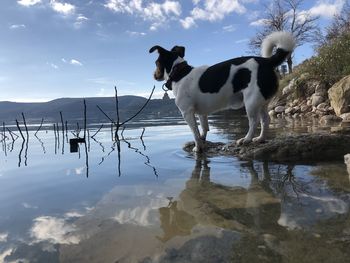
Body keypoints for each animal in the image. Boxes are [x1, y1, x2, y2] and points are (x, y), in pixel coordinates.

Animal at [149, 31, 294, 153]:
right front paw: (203, 140)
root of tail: (267, 61)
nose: (154, 75)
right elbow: (204, 128)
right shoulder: (201, 113)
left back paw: (246, 139)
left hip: (251, 101)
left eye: (156, 63)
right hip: (261, 101)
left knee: (254, 122)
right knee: (265, 120)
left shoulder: (187, 113)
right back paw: (260, 139)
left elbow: (195, 132)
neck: (179, 72)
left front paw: (198, 148)